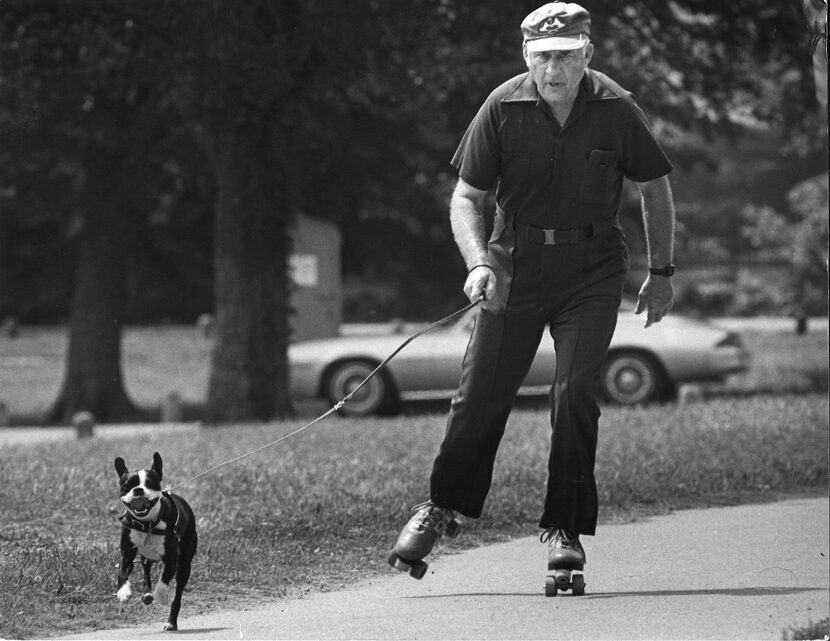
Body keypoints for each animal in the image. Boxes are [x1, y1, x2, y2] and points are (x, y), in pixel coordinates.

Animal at [115, 450, 198, 632]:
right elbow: (122, 572)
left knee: (177, 595)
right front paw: (123, 591)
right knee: (146, 570)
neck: (147, 523)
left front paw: (161, 597)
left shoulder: (172, 559)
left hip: (184, 564)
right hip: (146, 557)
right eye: (127, 486)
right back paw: (147, 593)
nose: (138, 490)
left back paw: (171, 622)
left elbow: (163, 581)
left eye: (150, 483)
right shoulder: (127, 553)